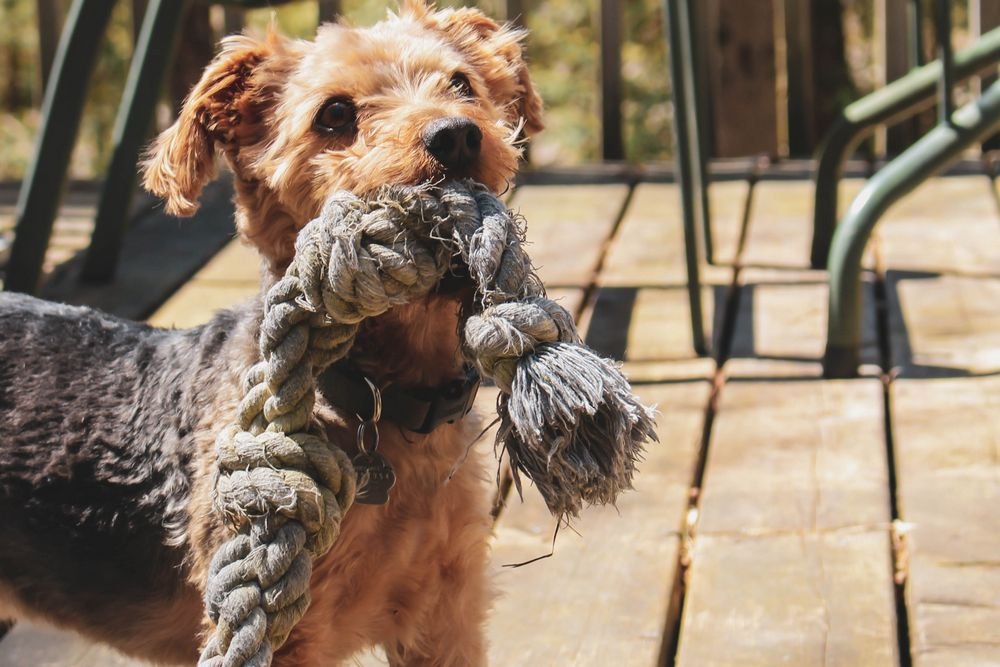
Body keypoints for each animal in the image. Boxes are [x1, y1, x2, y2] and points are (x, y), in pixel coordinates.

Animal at [0, 2, 544, 664]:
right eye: (334, 113)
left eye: (462, 83)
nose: (458, 135)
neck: (383, 401)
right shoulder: (283, 627)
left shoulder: (446, 613)